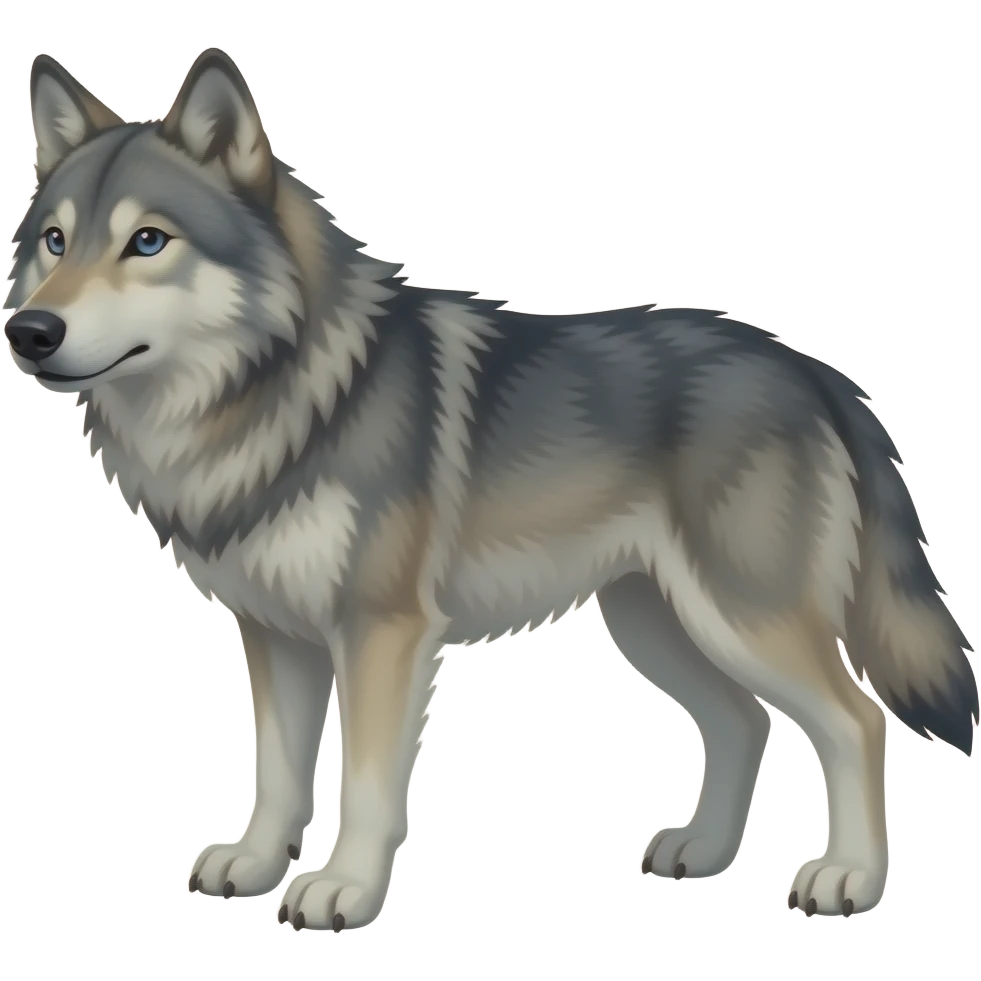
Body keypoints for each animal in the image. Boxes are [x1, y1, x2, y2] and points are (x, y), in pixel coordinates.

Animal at [4, 46, 977, 931]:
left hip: (739, 616)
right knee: (744, 721)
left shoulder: (382, 632)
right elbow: (277, 772)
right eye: (55, 241)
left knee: (854, 719)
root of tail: (811, 369)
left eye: (147, 241)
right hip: (656, 623)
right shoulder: (275, 633)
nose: (30, 330)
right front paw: (253, 863)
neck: (283, 396)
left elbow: (364, 783)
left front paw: (343, 889)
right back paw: (702, 850)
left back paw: (847, 877)